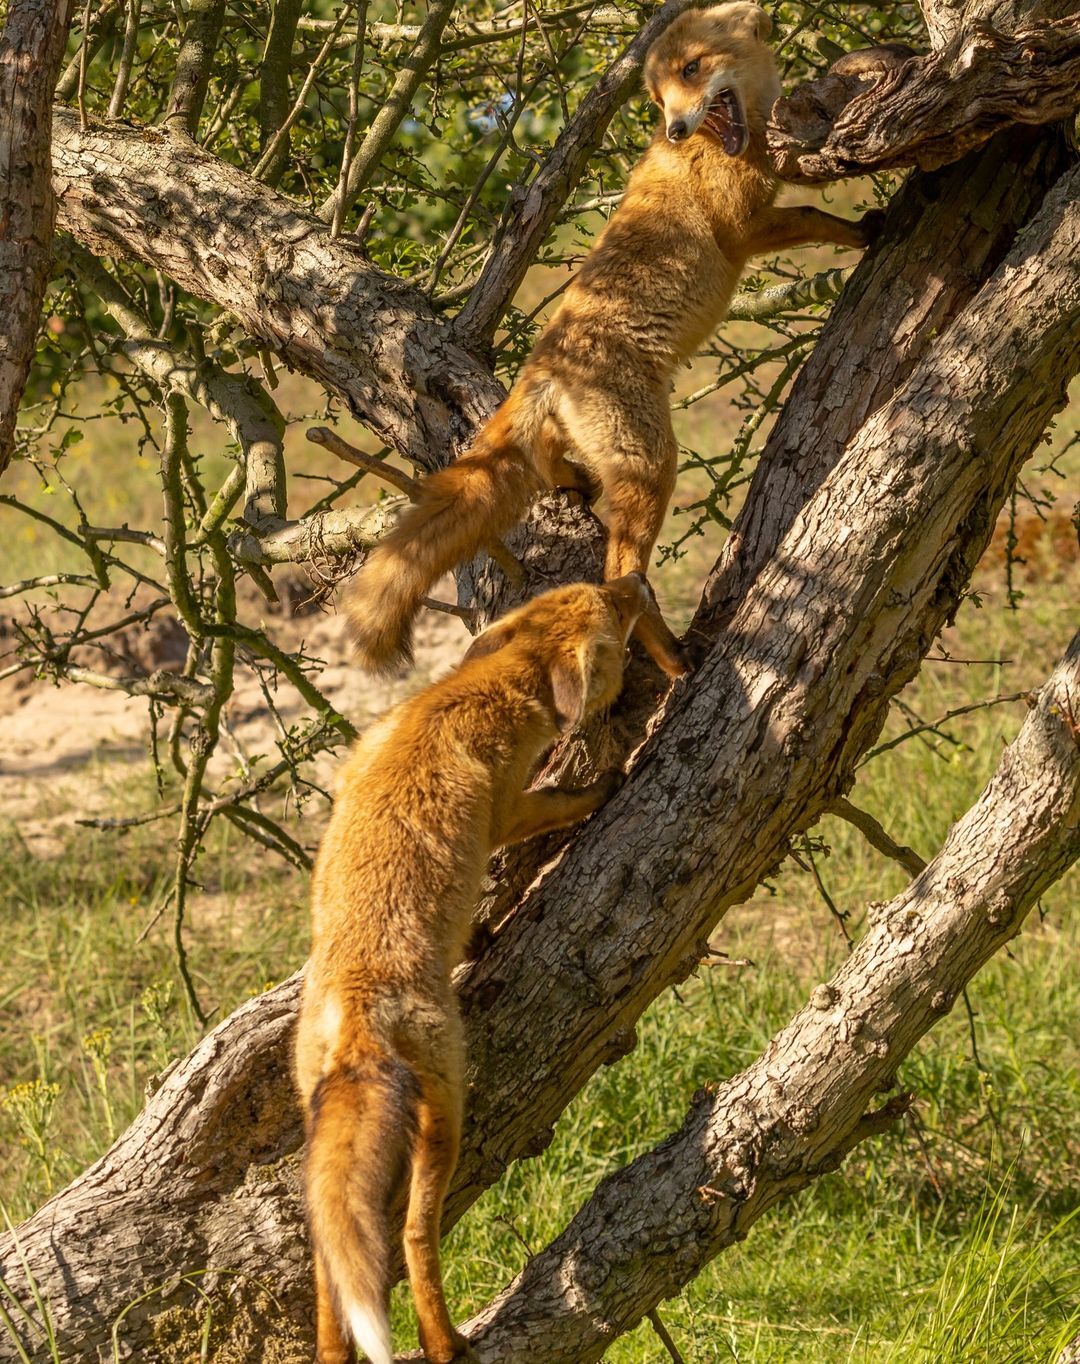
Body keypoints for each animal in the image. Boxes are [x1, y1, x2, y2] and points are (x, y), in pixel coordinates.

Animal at [293, 572, 649, 1364]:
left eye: (595, 587)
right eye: (612, 609)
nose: (635, 580)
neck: (467, 692)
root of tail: (357, 1008)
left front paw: (481, 936)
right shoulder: (505, 808)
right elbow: (562, 801)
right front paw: (613, 776)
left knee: (329, 1272)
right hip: (446, 1116)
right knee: (412, 1236)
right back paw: (444, 1339)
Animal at [346, 0, 878, 682]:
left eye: (691, 69)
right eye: (657, 96)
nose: (676, 129)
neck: (731, 142)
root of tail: (544, 368)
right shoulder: (743, 229)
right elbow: (816, 216)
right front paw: (869, 228)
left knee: (554, 471)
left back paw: (573, 481)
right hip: (652, 464)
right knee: (621, 574)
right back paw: (671, 658)